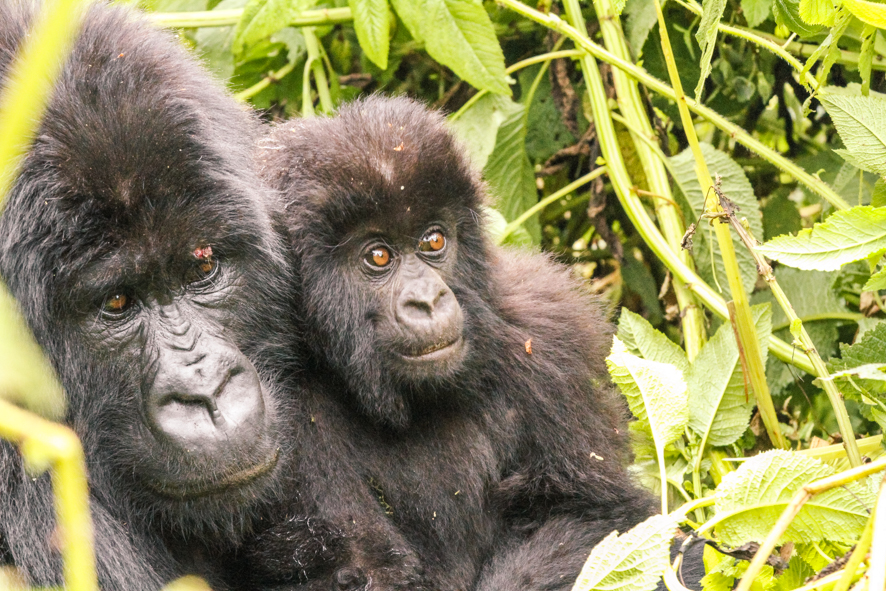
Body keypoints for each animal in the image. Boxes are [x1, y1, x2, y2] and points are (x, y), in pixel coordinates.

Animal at [253, 97, 668, 591]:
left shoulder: (548, 334)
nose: (427, 300)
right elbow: (359, 564)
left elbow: (594, 516)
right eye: (378, 255)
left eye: (433, 240)